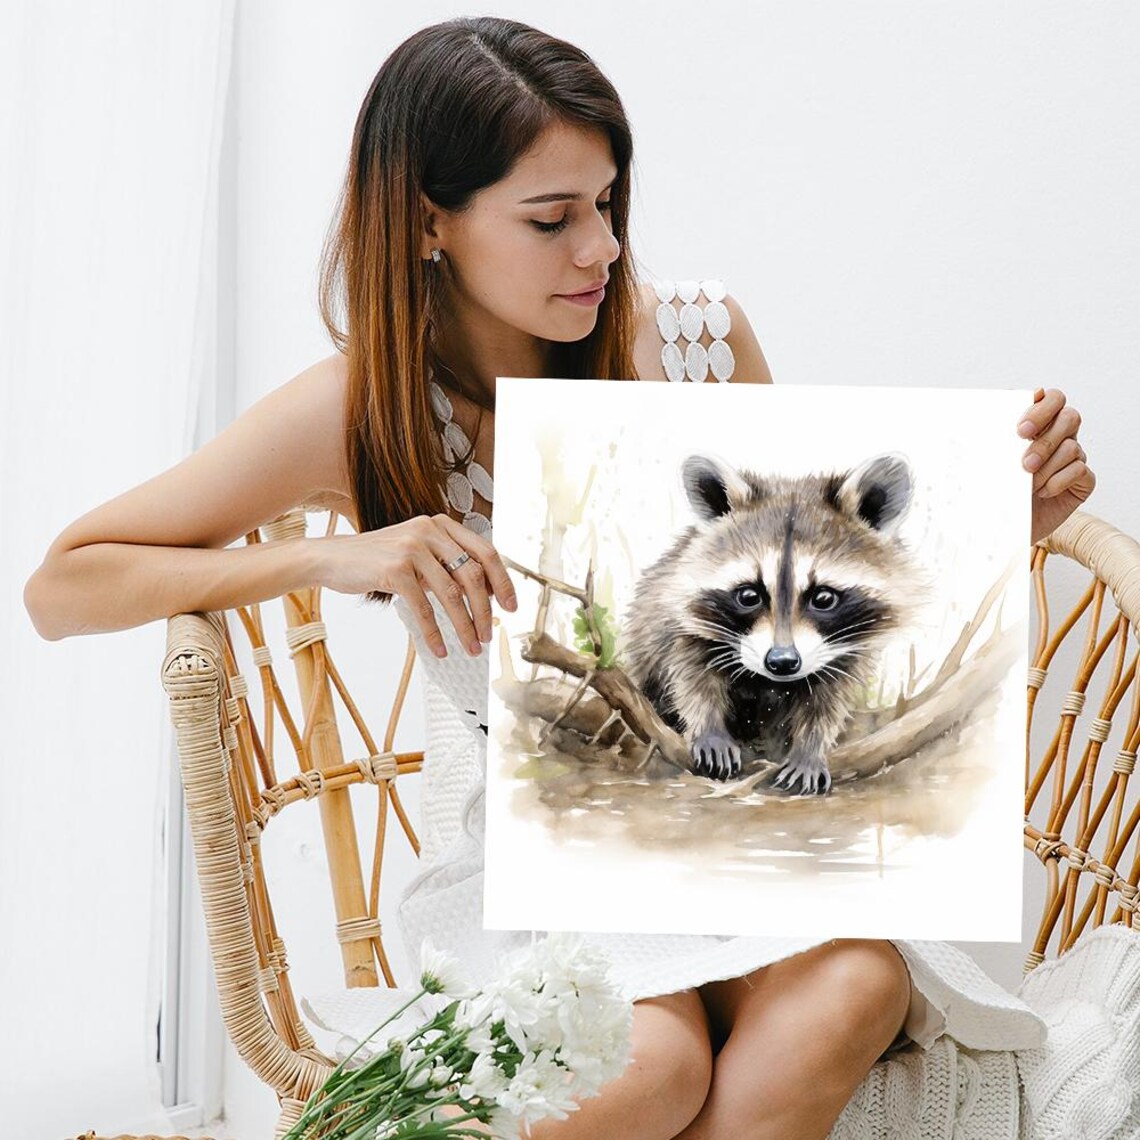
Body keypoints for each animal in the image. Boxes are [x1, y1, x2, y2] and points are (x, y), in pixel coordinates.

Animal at [622, 452, 918, 794]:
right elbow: (692, 679)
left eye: (824, 598)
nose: (782, 661)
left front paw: (809, 749)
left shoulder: (844, 650)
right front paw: (709, 729)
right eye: (749, 595)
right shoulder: (683, 625)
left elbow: (827, 702)